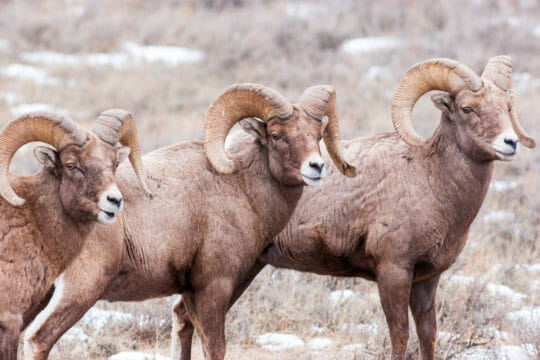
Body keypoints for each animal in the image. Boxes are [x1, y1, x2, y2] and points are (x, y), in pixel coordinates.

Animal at [23, 83, 356, 358]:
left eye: (317, 135)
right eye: (276, 135)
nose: (316, 167)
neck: (240, 187)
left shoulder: (190, 293)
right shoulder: (214, 286)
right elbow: (215, 346)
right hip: (80, 290)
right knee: (39, 339)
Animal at [174, 54, 536, 358]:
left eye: (507, 105)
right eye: (467, 109)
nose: (510, 143)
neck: (433, 180)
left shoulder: (427, 279)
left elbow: (428, 336)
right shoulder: (393, 271)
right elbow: (400, 336)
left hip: (244, 270)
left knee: (184, 317)